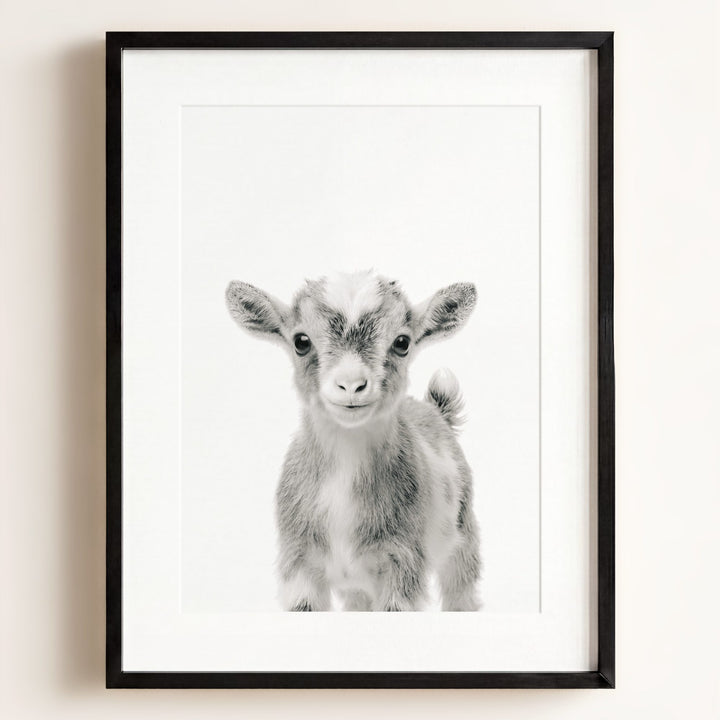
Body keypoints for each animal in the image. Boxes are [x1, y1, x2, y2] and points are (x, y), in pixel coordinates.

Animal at [225, 271, 480, 611]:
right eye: (301, 341)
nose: (351, 385)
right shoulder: (299, 564)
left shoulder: (402, 562)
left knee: (462, 591)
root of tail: (435, 410)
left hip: (463, 538)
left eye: (402, 342)